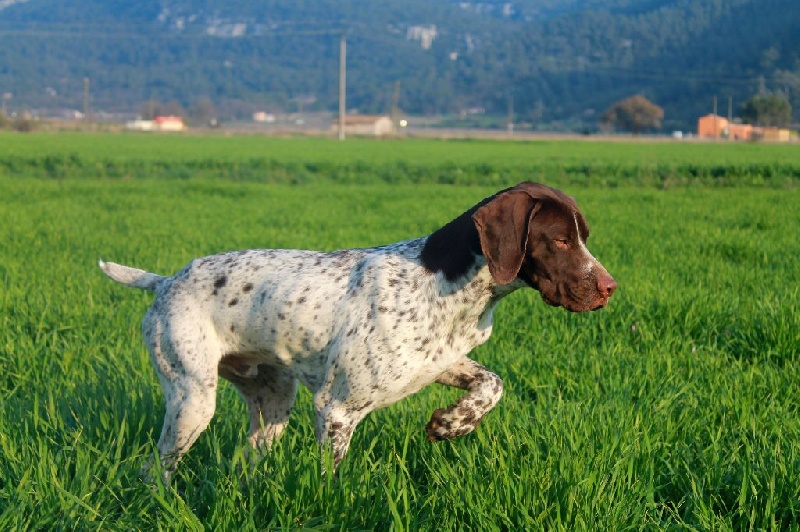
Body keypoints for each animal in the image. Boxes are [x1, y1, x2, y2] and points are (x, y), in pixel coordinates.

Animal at [98, 181, 612, 480]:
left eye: (583, 236)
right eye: (559, 240)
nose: (610, 288)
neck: (445, 284)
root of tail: (166, 280)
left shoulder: (440, 362)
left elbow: (493, 384)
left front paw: (452, 423)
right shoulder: (337, 409)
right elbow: (332, 480)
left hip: (272, 405)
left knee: (247, 462)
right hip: (192, 401)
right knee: (155, 469)